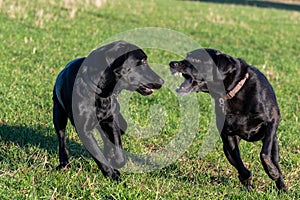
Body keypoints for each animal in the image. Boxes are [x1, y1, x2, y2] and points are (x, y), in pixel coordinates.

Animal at [52, 39, 164, 180]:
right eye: (143, 61)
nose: (162, 81)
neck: (100, 92)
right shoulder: (84, 131)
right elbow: (98, 156)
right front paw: (112, 175)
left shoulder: (111, 120)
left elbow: (119, 152)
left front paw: (115, 163)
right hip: (58, 114)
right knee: (62, 139)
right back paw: (64, 163)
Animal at [170, 48, 288, 191]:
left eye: (196, 59)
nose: (172, 63)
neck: (234, 91)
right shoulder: (228, 137)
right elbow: (239, 162)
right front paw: (246, 177)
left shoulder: (272, 120)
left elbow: (264, 154)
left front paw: (272, 172)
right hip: (226, 149)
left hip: (274, 144)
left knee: (274, 160)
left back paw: (281, 184)